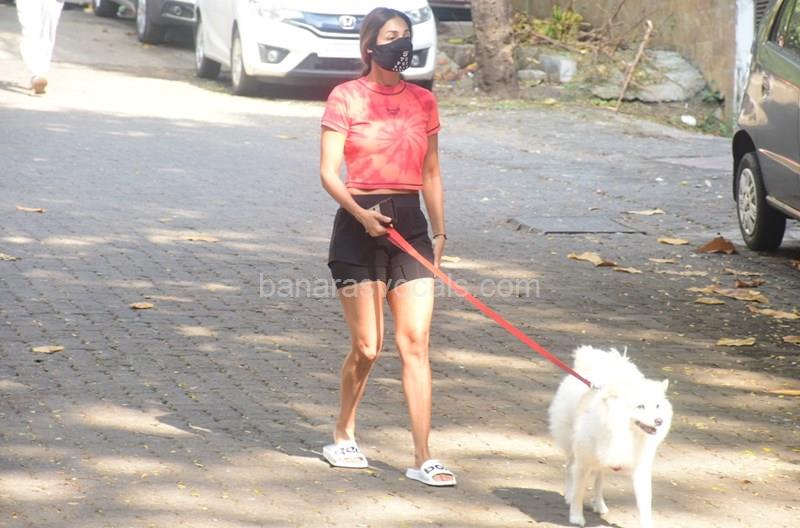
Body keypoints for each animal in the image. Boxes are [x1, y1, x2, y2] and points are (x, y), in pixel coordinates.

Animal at [548, 346, 672, 528]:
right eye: (640, 406)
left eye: (657, 406)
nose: (659, 421)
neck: (625, 433)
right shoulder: (584, 463)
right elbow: (579, 491)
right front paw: (576, 516)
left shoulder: (640, 469)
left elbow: (645, 503)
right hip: (572, 444)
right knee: (570, 467)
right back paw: (569, 495)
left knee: (599, 477)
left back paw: (599, 504)